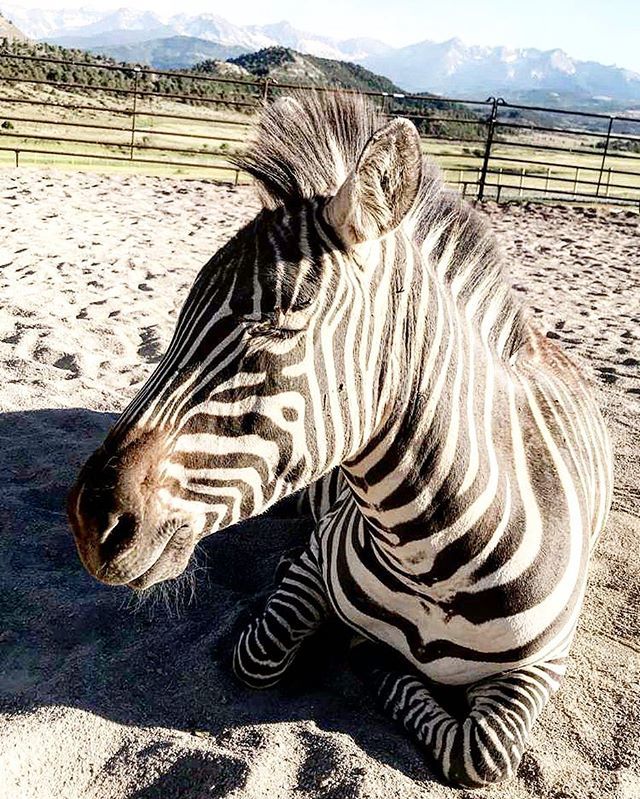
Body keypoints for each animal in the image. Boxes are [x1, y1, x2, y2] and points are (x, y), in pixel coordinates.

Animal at [68, 92, 613, 787]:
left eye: (276, 324)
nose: (90, 520)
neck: (430, 556)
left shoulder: (541, 668)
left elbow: (481, 752)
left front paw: (379, 659)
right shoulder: (315, 560)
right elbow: (259, 654)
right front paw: (365, 650)